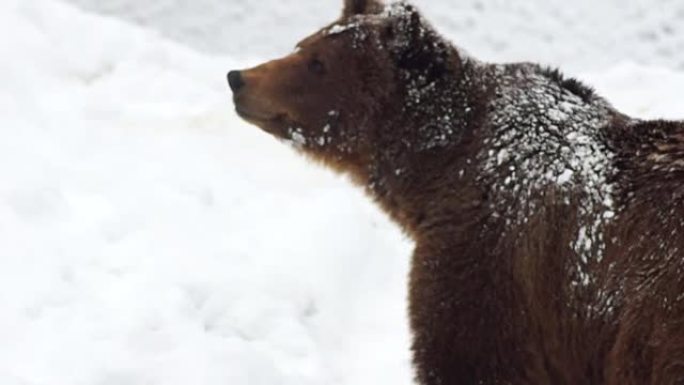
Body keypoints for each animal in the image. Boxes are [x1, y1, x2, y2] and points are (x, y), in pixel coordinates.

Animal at [227, 1, 684, 382]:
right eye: (303, 44)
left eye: (318, 63)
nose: (238, 79)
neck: (438, 171)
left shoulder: (487, 259)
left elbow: (466, 354)